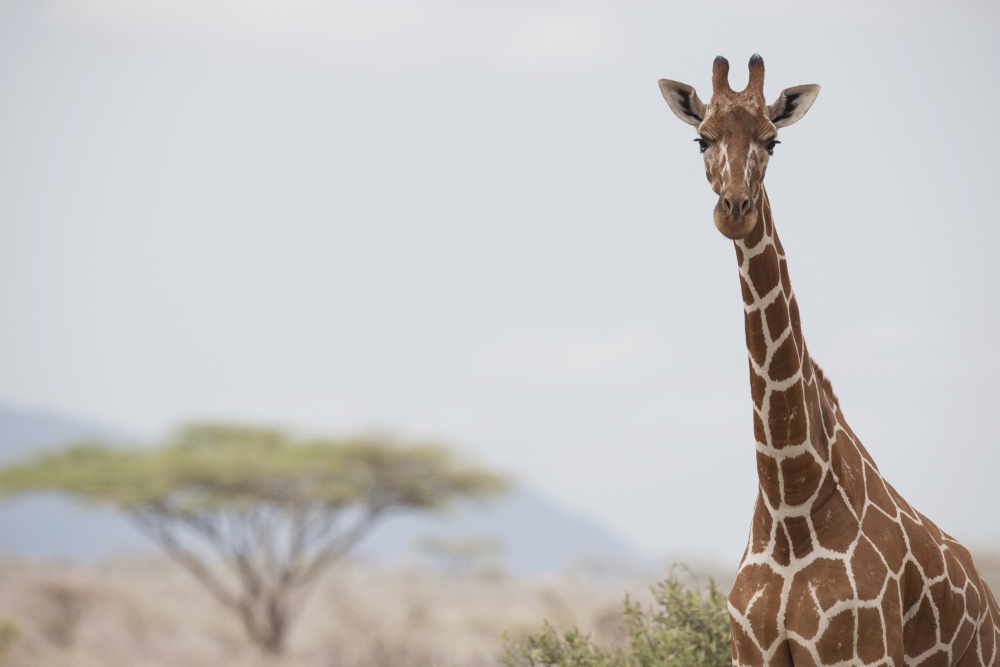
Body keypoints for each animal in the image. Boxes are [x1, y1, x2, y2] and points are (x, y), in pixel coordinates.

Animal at [658, 55, 1000, 667]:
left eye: (773, 141)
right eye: (701, 139)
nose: (735, 211)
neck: (791, 502)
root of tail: (990, 604)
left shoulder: (858, 652)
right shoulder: (749, 653)